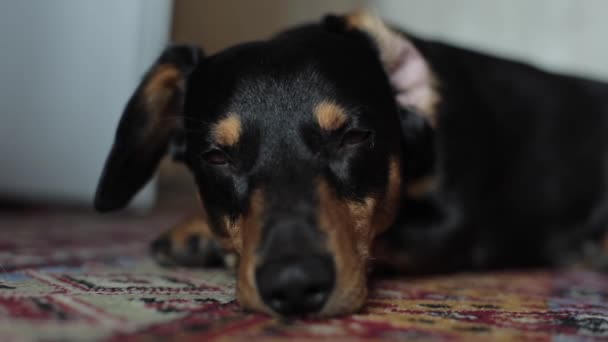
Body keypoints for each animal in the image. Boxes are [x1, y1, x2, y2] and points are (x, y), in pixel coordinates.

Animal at [92, 10, 608, 320]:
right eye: (217, 156)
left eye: (355, 136)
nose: (294, 286)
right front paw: (195, 231)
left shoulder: (456, 225)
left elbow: (384, 235)